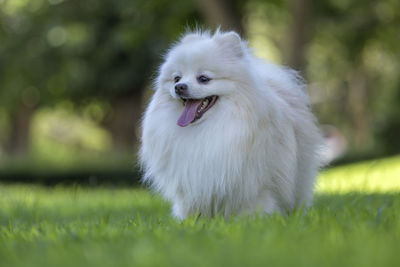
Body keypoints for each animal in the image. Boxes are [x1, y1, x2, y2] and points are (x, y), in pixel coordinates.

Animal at [139, 29, 324, 220]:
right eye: (176, 78)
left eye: (203, 78)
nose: (179, 87)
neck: (208, 127)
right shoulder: (192, 179)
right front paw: (191, 221)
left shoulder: (254, 180)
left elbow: (254, 202)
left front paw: (251, 220)